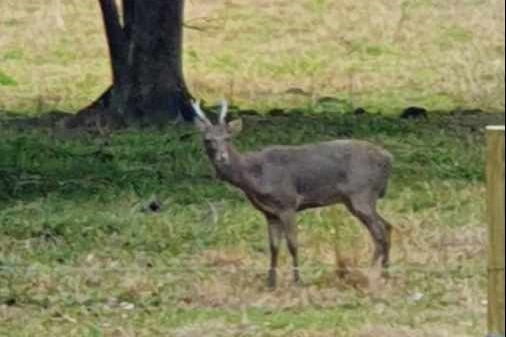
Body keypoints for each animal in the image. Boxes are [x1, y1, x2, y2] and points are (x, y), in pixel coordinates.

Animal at [192, 100, 394, 288]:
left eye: (228, 138)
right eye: (207, 140)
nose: (222, 158)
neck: (255, 176)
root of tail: (388, 158)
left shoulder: (287, 202)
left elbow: (293, 244)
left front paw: (298, 281)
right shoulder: (270, 213)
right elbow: (273, 247)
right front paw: (271, 283)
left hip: (362, 192)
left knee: (379, 231)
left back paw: (371, 273)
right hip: (355, 199)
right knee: (388, 225)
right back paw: (386, 272)